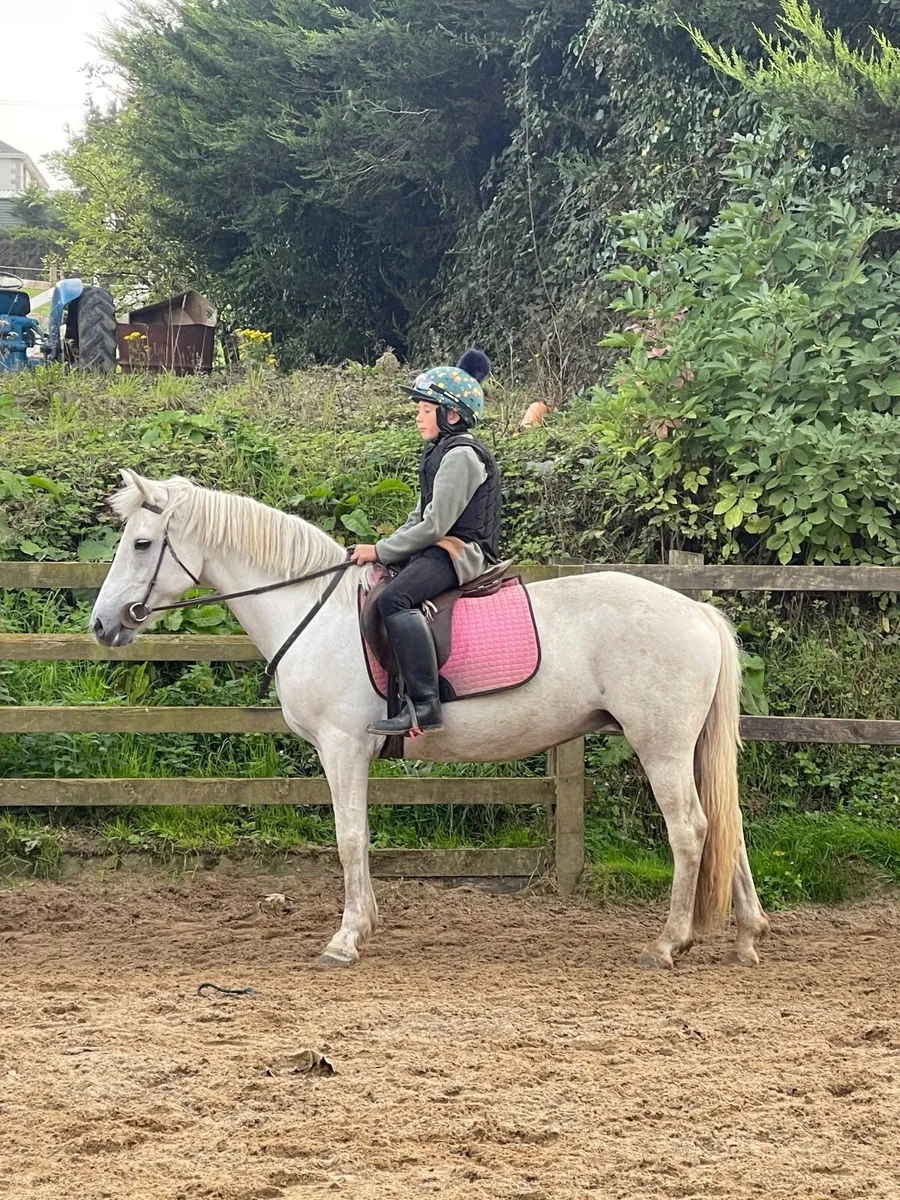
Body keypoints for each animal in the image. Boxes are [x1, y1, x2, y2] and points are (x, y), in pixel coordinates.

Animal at [90, 470, 769, 969]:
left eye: (142, 544)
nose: (102, 624)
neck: (315, 610)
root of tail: (696, 612)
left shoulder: (342, 748)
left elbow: (349, 837)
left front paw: (344, 939)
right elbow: (363, 836)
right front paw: (365, 924)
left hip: (661, 747)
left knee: (691, 830)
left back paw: (669, 943)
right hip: (690, 749)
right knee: (728, 828)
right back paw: (746, 936)